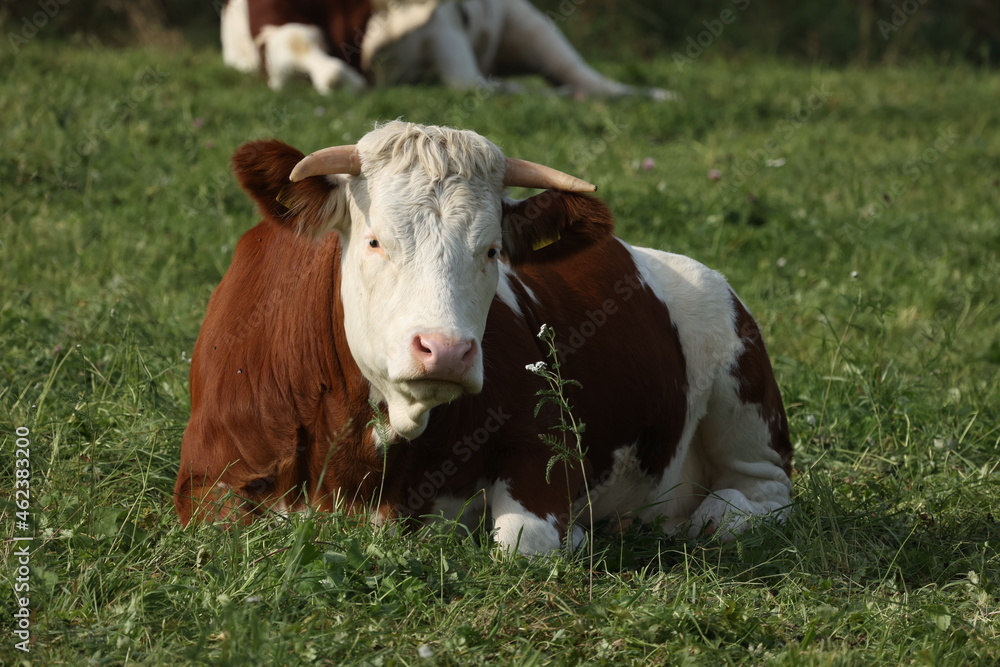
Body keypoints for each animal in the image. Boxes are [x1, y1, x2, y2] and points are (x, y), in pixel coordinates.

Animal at [178, 122, 788, 556]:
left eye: (492, 249)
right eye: (374, 241)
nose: (446, 350)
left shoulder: (549, 445)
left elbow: (523, 540)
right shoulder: (205, 482)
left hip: (745, 403)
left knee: (765, 494)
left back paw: (709, 518)